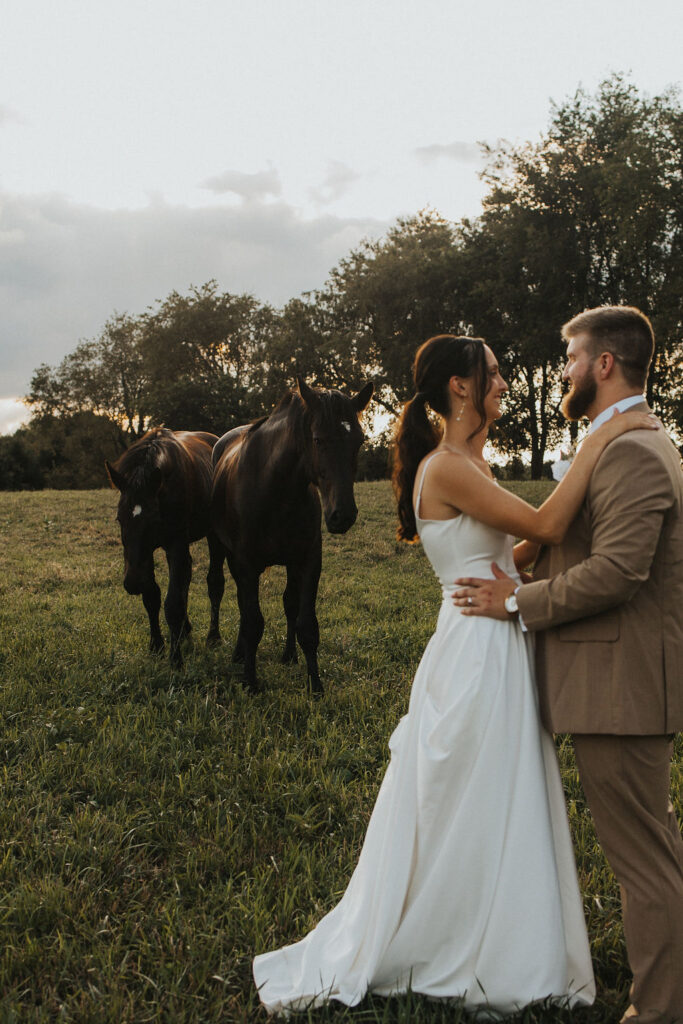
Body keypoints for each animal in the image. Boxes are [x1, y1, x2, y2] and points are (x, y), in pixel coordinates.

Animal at [105, 428, 225, 667]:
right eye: (119, 519)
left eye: (152, 520)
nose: (132, 583)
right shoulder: (146, 555)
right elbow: (152, 596)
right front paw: (157, 645)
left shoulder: (175, 543)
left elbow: (173, 604)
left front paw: (175, 659)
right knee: (186, 578)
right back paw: (185, 631)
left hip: (213, 535)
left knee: (215, 582)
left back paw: (213, 637)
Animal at [211, 378, 374, 696]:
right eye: (318, 440)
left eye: (359, 441)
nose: (343, 515)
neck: (276, 490)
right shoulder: (247, 565)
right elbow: (253, 621)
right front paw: (250, 682)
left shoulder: (308, 561)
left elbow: (305, 623)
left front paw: (316, 684)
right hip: (221, 550)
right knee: (231, 597)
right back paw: (237, 652)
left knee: (287, 603)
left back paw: (288, 655)